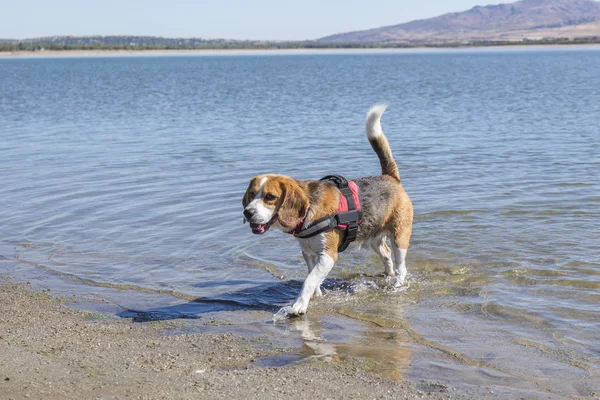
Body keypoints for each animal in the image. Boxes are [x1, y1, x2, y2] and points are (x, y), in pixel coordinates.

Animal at [240, 104, 412, 318]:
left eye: (269, 197)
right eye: (251, 194)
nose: (247, 213)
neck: (308, 211)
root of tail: (390, 177)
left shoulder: (328, 255)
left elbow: (309, 280)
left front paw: (299, 305)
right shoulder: (308, 253)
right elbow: (311, 275)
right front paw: (316, 294)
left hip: (400, 236)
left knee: (401, 266)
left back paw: (397, 285)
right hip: (375, 238)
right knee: (387, 255)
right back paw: (388, 275)